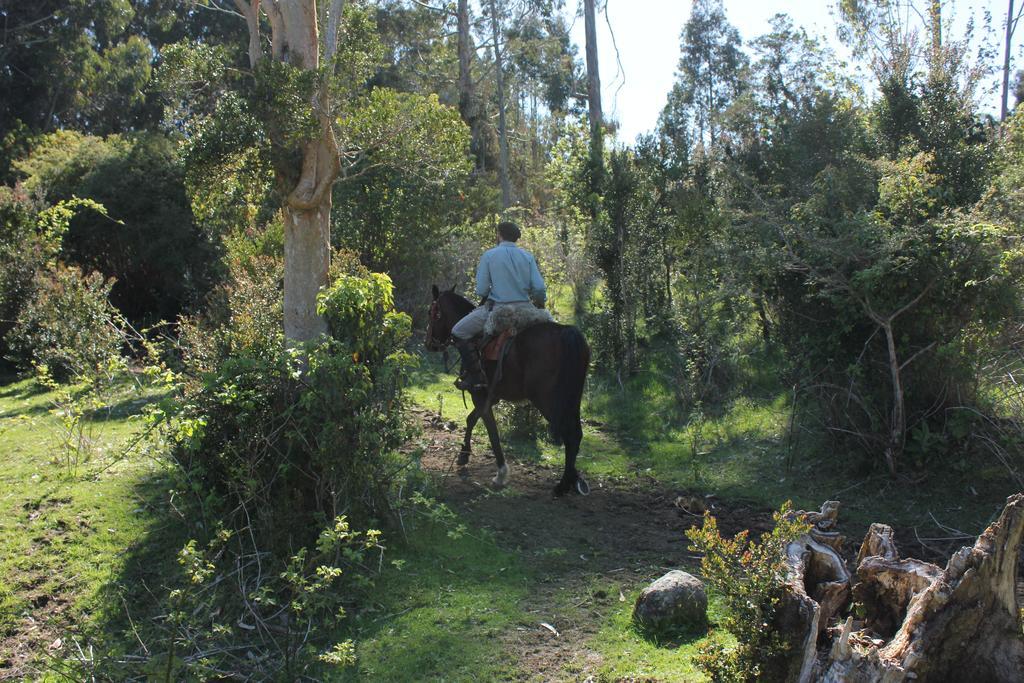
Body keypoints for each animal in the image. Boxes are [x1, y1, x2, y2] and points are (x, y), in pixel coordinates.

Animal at [425, 284, 593, 497]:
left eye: (431, 312)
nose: (429, 343)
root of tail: (567, 333)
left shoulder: (481, 396)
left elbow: (492, 432)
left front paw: (501, 474)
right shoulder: (490, 397)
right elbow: (471, 419)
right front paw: (464, 455)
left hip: (547, 400)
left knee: (569, 434)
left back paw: (562, 485)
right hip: (573, 399)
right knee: (576, 434)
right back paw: (571, 480)